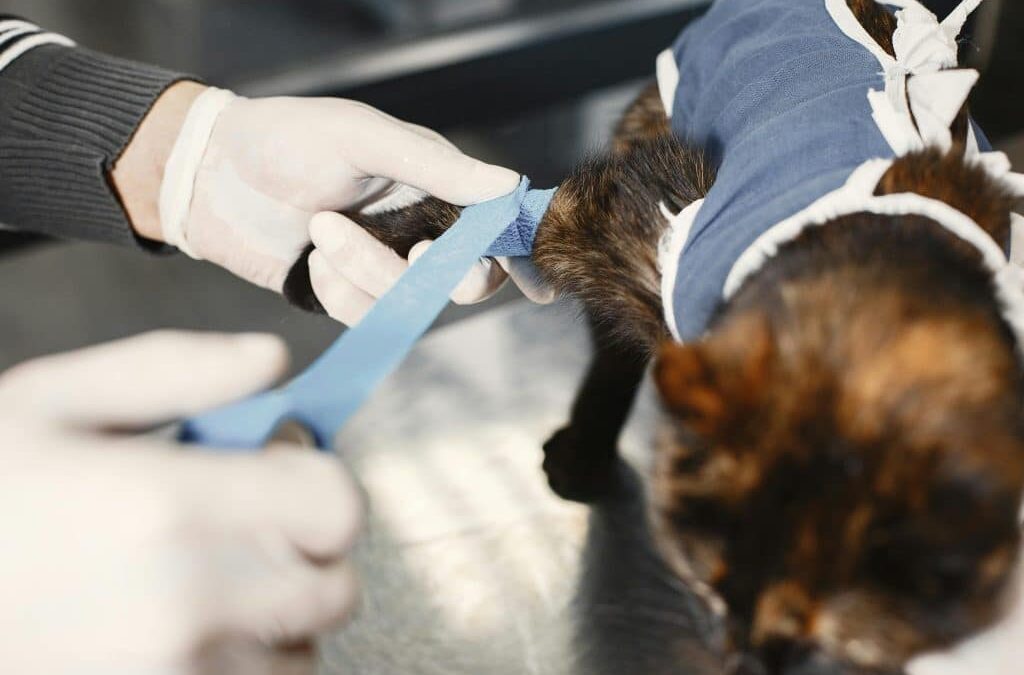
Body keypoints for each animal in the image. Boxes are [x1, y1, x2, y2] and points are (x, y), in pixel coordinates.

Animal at [282, 2, 1024, 671]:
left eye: (831, 645)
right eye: (707, 581)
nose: (746, 657)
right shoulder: (619, 210)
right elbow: (495, 208)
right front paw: (327, 261)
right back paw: (581, 454)